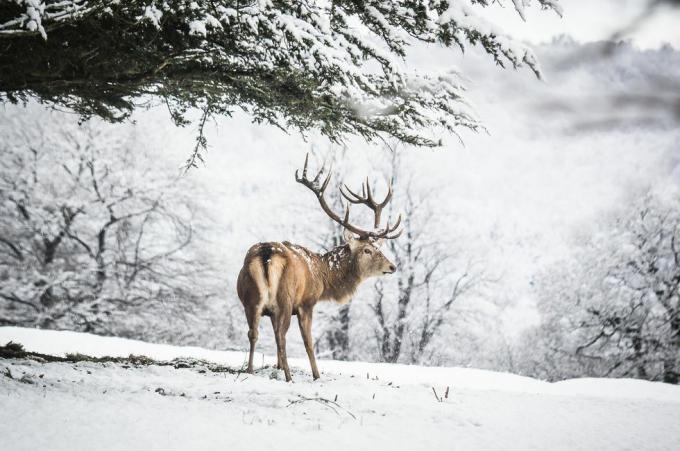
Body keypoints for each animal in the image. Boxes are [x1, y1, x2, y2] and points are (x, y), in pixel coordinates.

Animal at [236, 154, 402, 382]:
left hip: (250, 299)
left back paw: (250, 370)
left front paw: (277, 368)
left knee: (254, 332)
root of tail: (267, 253)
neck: (322, 277)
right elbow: (308, 342)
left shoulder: (270, 311)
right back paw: (289, 377)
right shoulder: (307, 303)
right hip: (285, 299)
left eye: (379, 247)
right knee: (281, 336)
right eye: (367, 250)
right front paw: (316, 375)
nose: (392, 266)